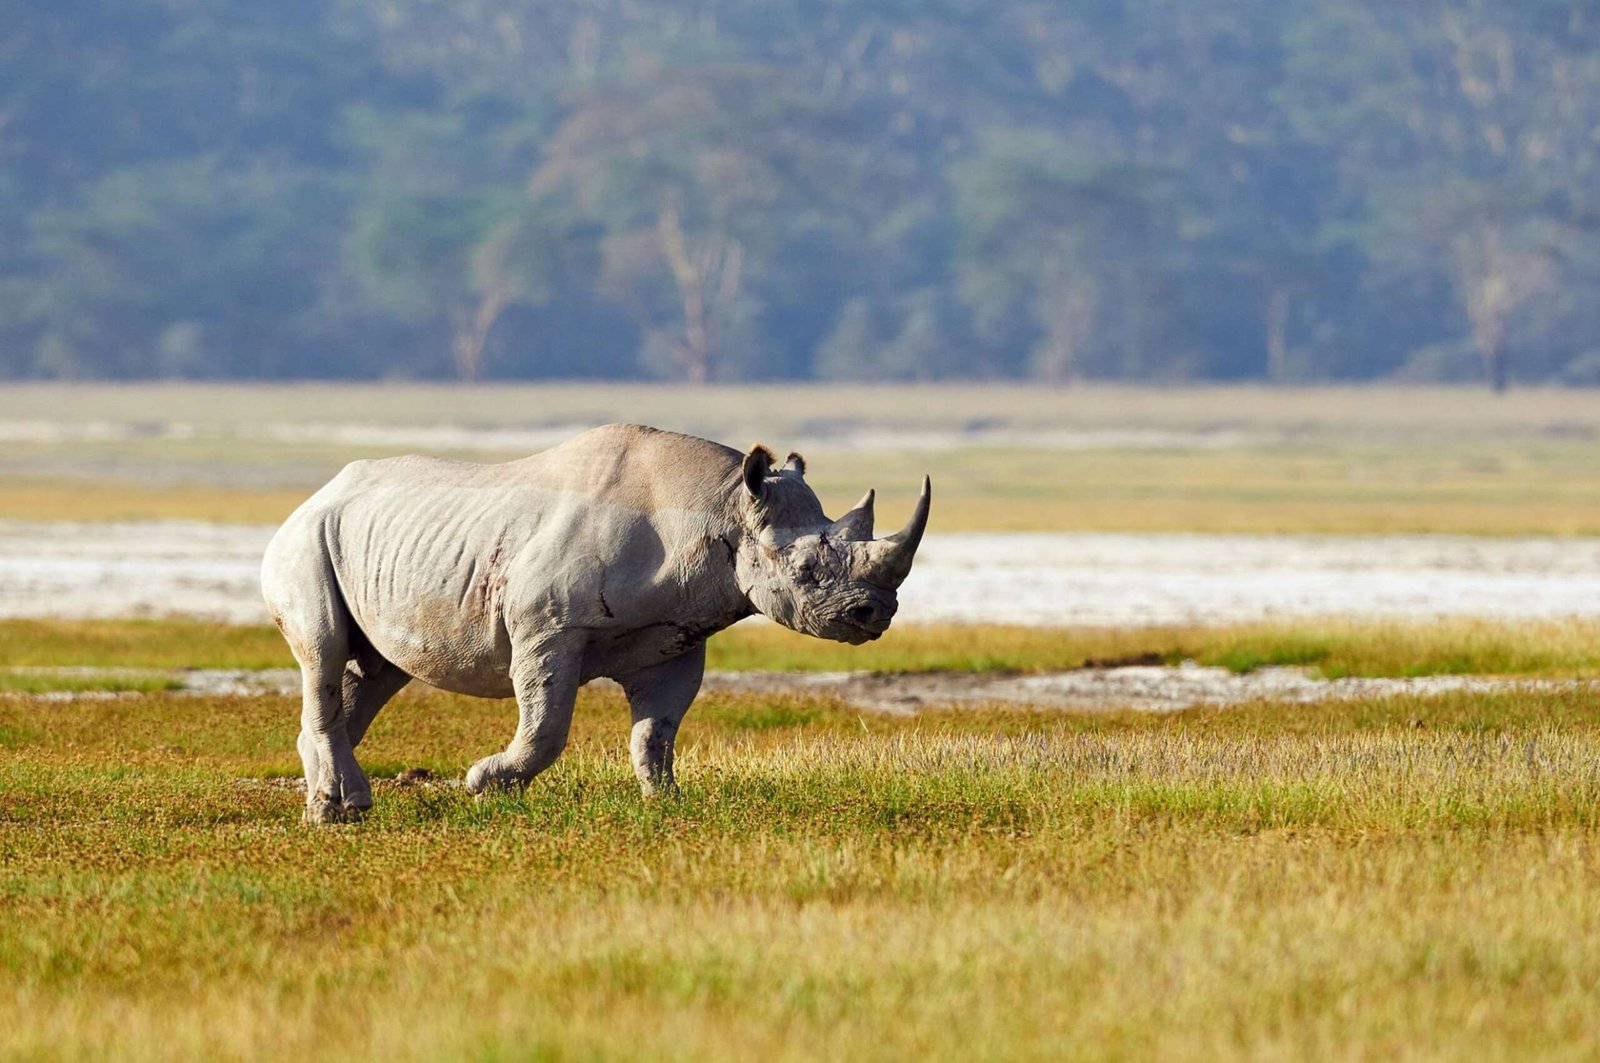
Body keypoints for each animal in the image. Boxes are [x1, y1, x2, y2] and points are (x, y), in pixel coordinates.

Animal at [261, 423, 930, 823]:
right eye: (809, 570)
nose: (876, 614)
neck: (719, 506)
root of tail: (310, 498)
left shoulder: (675, 634)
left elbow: (657, 732)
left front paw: (666, 805)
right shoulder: (545, 625)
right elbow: (546, 724)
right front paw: (486, 785)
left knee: (371, 672)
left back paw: (341, 805)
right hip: (303, 542)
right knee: (324, 653)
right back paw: (333, 814)